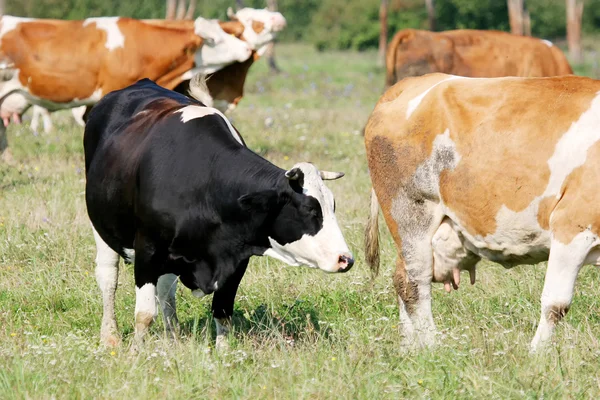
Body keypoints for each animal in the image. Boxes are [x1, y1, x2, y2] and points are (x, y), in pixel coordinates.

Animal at [85, 77, 356, 346]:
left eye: (333, 205)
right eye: (310, 209)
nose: (346, 259)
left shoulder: (236, 258)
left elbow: (222, 312)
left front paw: (224, 353)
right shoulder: (148, 249)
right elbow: (144, 314)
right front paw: (137, 353)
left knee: (166, 289)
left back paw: (173, 337)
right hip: (103, 228)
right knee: (108, 277)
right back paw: (110, 337)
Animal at [364, 73, 600, 352]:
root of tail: (410, 84)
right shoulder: (572, 225)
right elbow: (556, 304)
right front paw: (536, 354)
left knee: (401, 277)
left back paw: (410, 348)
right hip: (410, 212)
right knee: (413, 282)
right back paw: (432, 348)